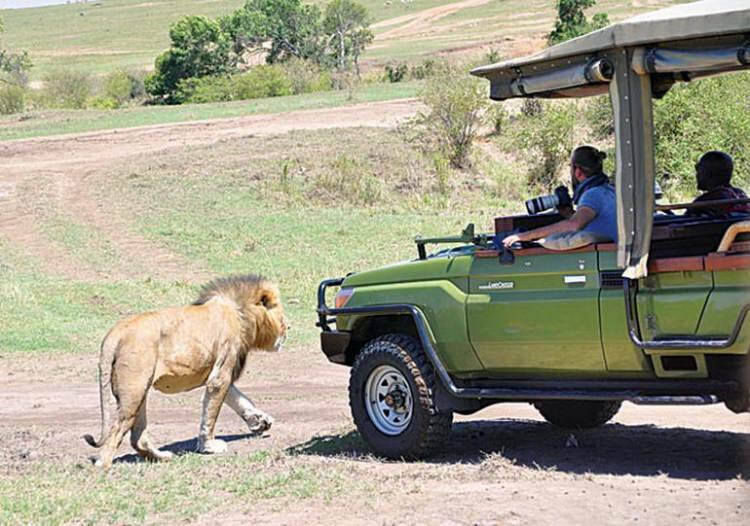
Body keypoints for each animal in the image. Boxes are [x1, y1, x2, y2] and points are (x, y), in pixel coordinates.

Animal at [83, 276, 290, 470]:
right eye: (281, 313)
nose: (289, 326)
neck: (240, 313)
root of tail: (115, 332)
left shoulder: (219, 373)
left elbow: (239, 399)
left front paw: (260, 420)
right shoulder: (220, 374)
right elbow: (211, 413)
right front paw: (209, 447)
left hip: (140, 391)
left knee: (138, 438)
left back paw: (161, 456)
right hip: (133, 390)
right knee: (117, 430)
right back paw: (103, 465)